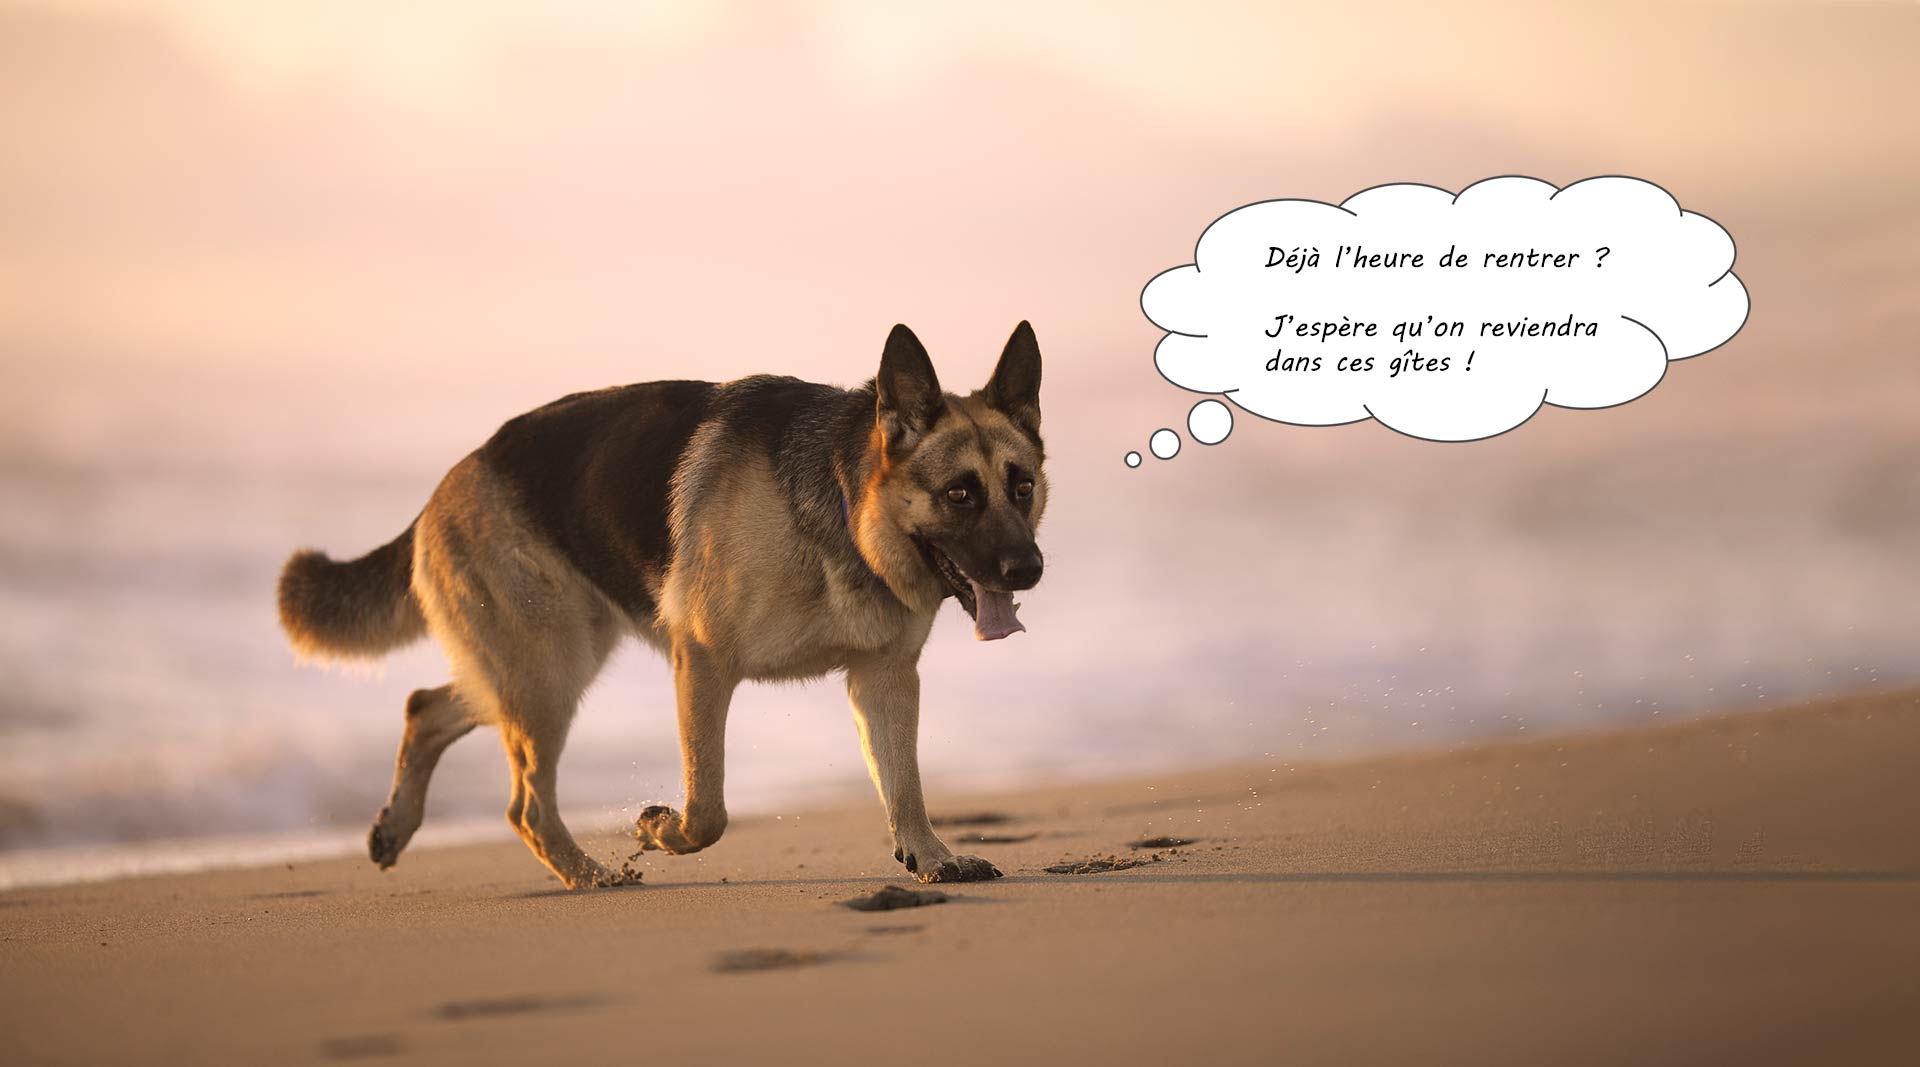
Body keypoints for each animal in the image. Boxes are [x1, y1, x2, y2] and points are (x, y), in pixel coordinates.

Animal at [278, 320, 1044, 886]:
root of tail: (446, 485)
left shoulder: (883, 681)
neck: (846, 506)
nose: (1030, 570)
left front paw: (932, 854)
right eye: (960, 493)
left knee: (427, 706)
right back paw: (588, 875)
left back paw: (397, 826)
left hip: (543, 664)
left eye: (1022, 486)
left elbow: (904, 781)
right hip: (549, 669)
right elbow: (709, 809)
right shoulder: (702, 663)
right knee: (524, 803)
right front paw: (661, 830)